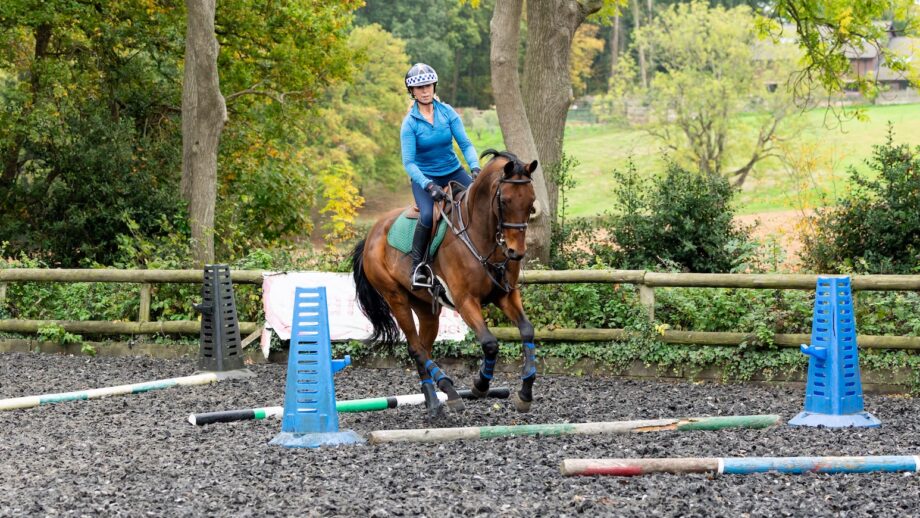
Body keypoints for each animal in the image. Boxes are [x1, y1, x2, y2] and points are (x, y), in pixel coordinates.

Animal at [351, 149, 539, 417]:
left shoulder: (506, 295)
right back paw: (449, 390)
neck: (482, 237)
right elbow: (490, 343)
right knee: (416, 347)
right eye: (504, 201)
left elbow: (527, 331)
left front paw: (525, 393)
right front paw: (480, 385)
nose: (516, 252)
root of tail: (371, 235)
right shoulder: (465, 300)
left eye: (531, 203)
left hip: (425, 308)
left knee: (422, 347)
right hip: (395, 297)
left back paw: (433, 400)